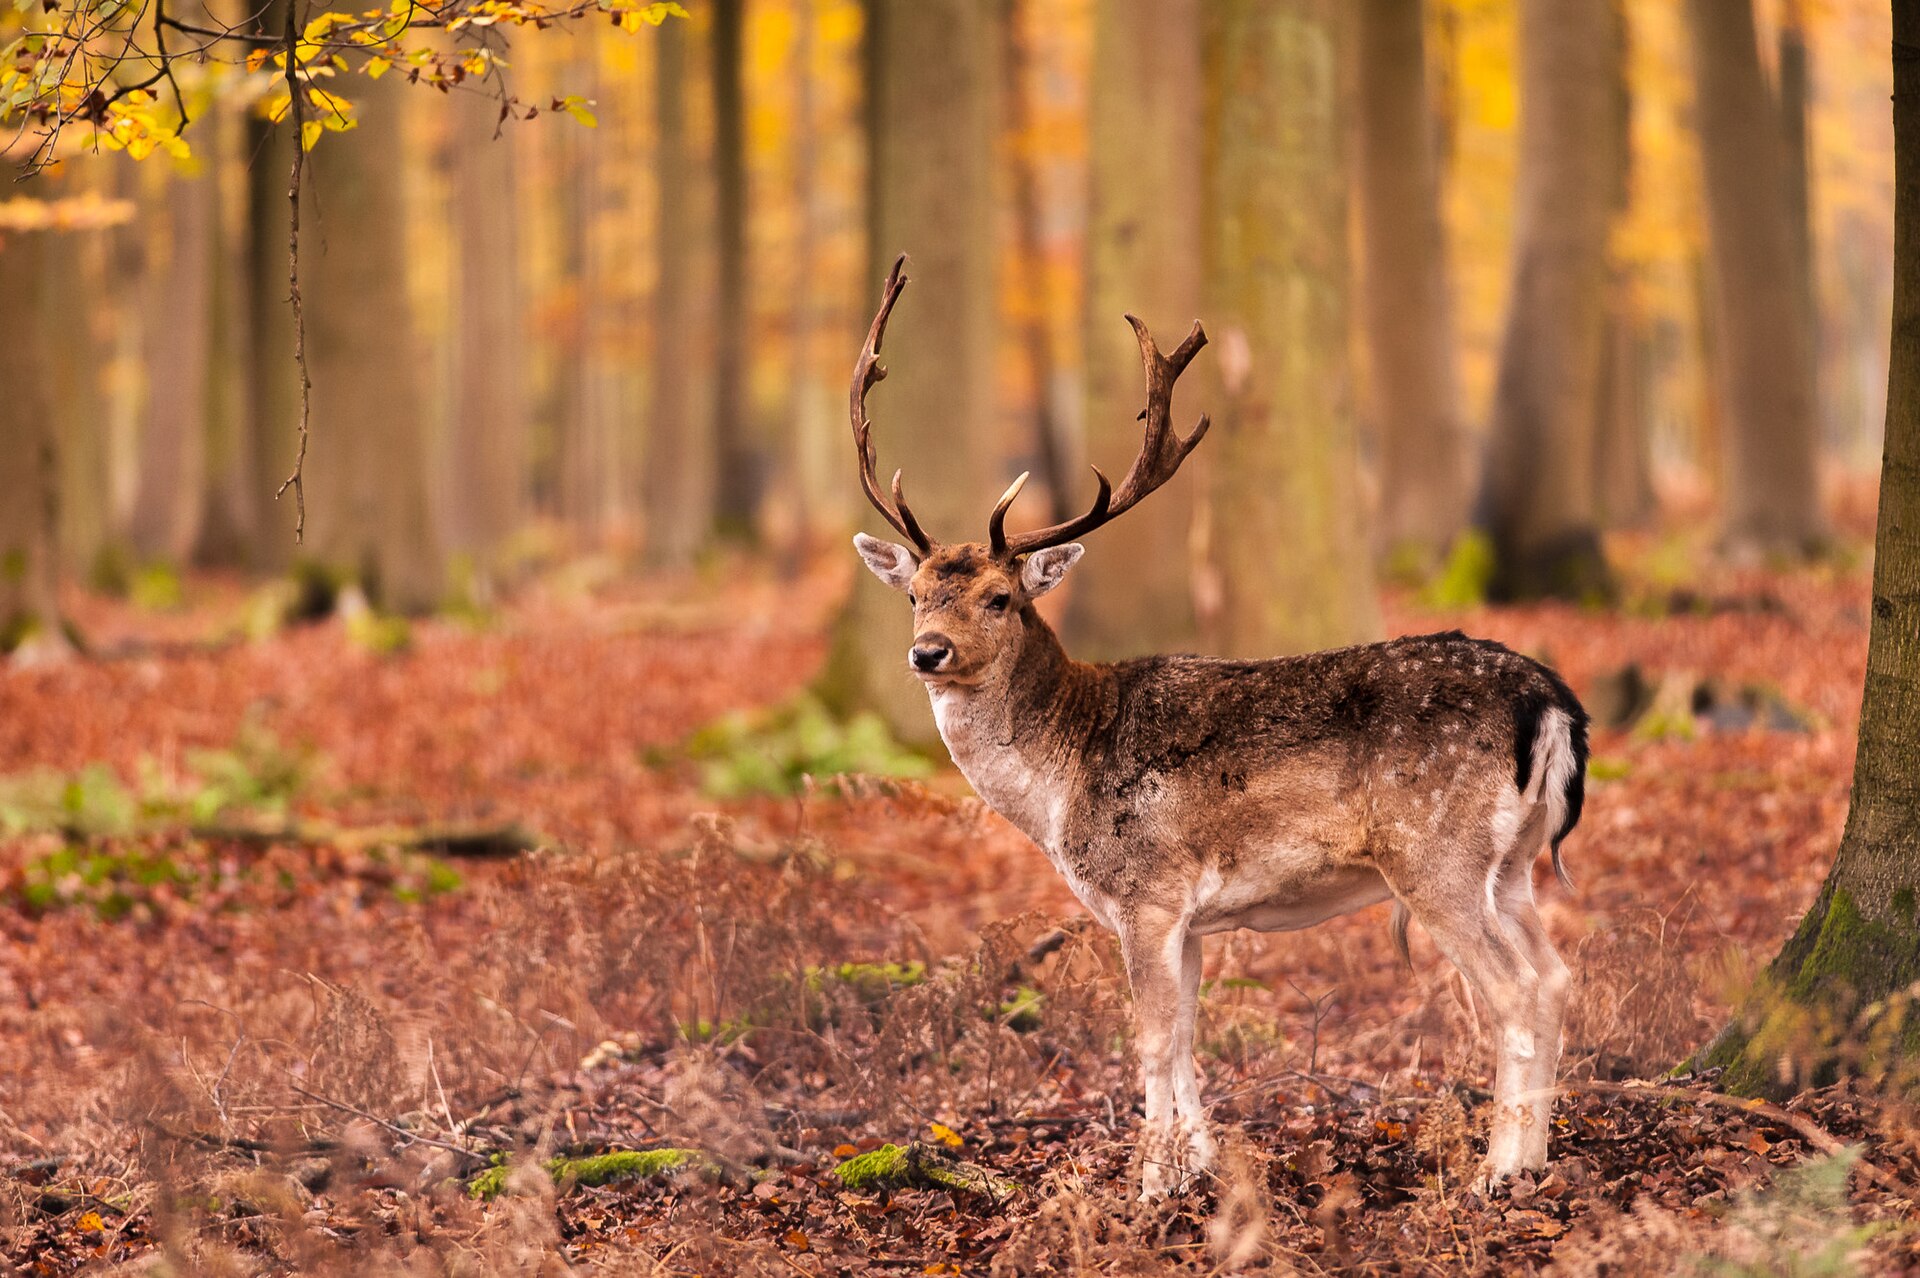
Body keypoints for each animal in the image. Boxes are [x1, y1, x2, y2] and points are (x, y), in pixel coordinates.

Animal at [846, 256, 1589, 1199]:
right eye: (914, 595)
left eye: (1001, 597)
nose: (927, 653)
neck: (1060, 785)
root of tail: (1553, 700)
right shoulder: (1186, 922)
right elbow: (1189, 1041)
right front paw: (1195, 1167)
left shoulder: (1147, 893)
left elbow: (1154, 1041)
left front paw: (1151, 1185)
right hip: (1514, 863)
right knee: (1557, 976)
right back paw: (1532, 1160)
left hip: (1438, 857)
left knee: (1518, 990)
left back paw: (1498, 1172)